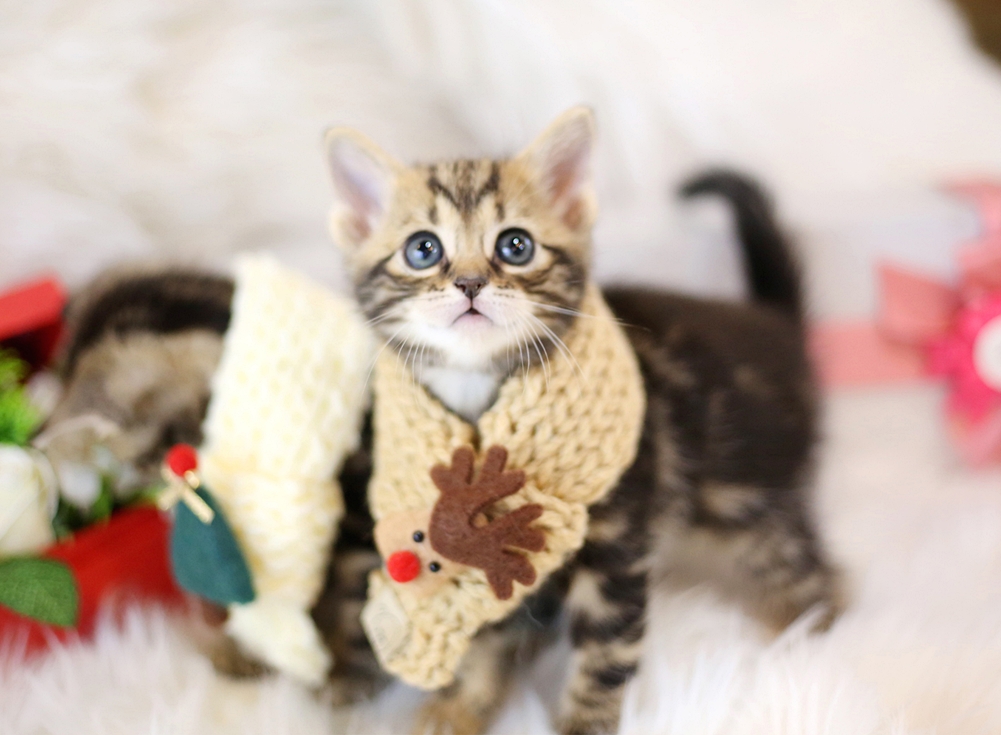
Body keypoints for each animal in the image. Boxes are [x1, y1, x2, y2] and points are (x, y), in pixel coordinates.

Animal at [323, 107, 842, 735]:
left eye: (515, 245)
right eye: (422, 250)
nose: (470, 283)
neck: (478, 389)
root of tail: (775, 325)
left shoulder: (618, 543)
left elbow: (606, 651)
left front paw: (582, 723)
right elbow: (487, 631)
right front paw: (462, 706)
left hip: (746, 496)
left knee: (803, 564)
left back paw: (806, 634)